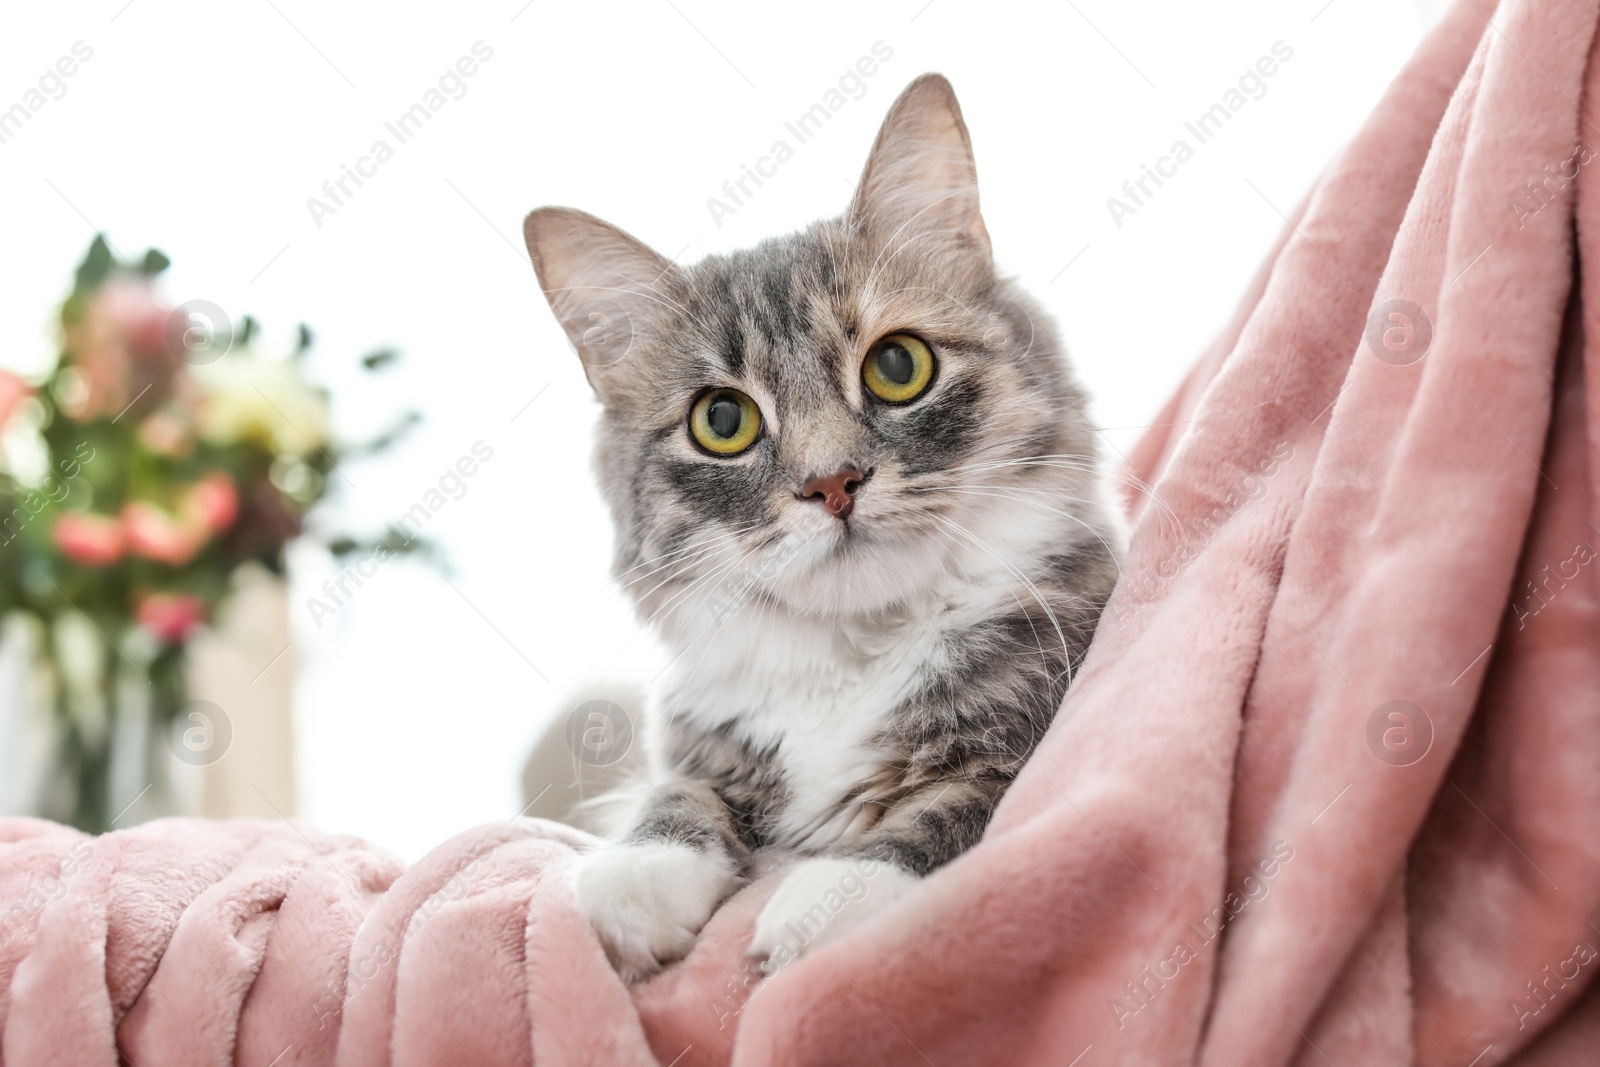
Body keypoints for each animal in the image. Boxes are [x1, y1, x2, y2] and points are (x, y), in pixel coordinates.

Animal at [524, 70, 1126, 979]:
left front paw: (828, 901)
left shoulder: (1034, 733)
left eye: (898, 366)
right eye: (723, 421)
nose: (832, 482)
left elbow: (950, 808)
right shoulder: (700, 741)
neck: (853, 656)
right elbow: (675, 793)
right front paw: (639, 875)